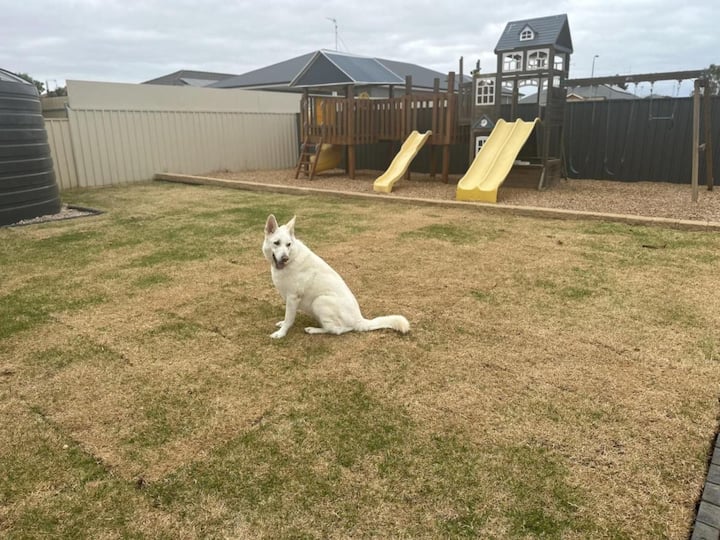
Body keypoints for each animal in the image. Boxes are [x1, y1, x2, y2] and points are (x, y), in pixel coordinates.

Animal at [262, 214, 410, 339]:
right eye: (276, 243)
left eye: (288, 244)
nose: (285, 258)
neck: (292, 259)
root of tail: (359, 320)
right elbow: (287, 317)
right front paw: (282, 324)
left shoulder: (293, 297)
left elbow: (289, 318)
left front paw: (281, 333)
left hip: (319, 301)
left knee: (338, 330)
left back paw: (314, 330)